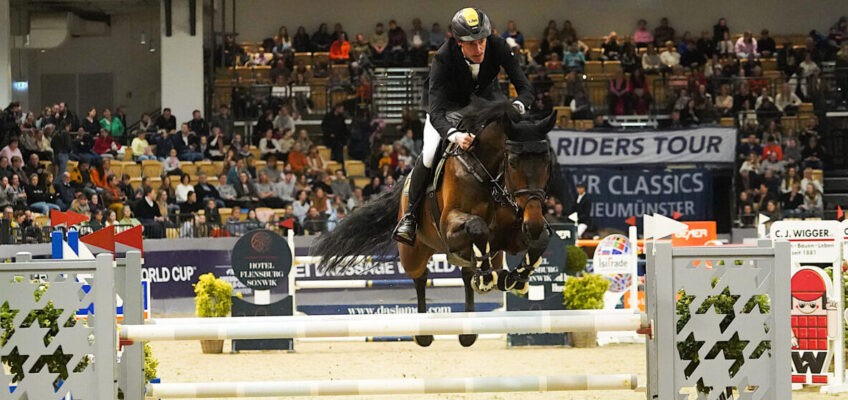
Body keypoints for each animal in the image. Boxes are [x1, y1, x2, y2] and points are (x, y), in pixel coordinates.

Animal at [312, 100, 556, 346]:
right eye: (513, 163)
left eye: (547, 163)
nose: (534, 222)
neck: (488, 177)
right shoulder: (449, 227)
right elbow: (477, 226)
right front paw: (488, 278)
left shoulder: (509, 236)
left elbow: (540, 240)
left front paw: (516, 279)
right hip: (413, 253)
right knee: (421, 277)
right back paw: (424, 332)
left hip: (492, 254)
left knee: (469, 272)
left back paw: (470, 326)